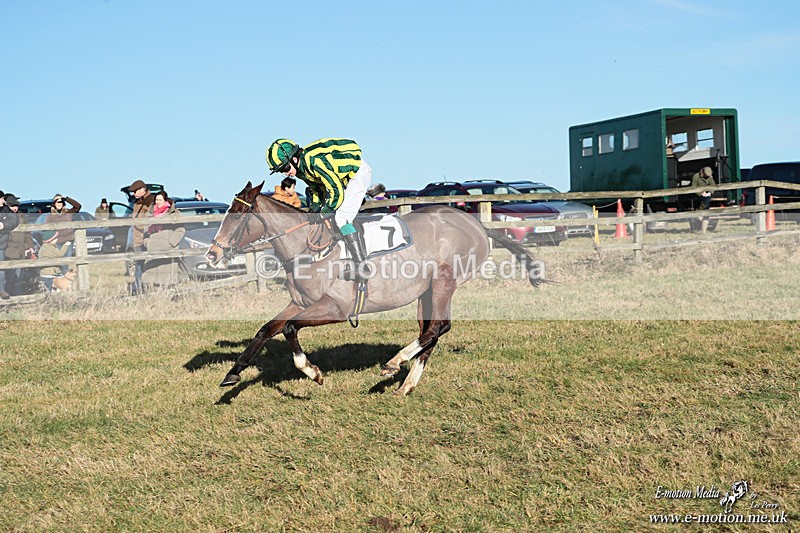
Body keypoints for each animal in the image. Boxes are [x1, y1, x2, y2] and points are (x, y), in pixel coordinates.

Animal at [206, 181, 543, 396]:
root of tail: (476, 224)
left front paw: (313, 372)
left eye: (236, 216)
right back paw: (406, 384)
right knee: (430, 330)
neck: (308, 248)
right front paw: (233, 374)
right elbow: (265, 329)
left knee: (438, 327)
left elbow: (289, 329)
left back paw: (394, 363)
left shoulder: (335, 308)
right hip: (425, 292)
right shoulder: (300, 304)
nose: (212, 254)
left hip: (444, 281)